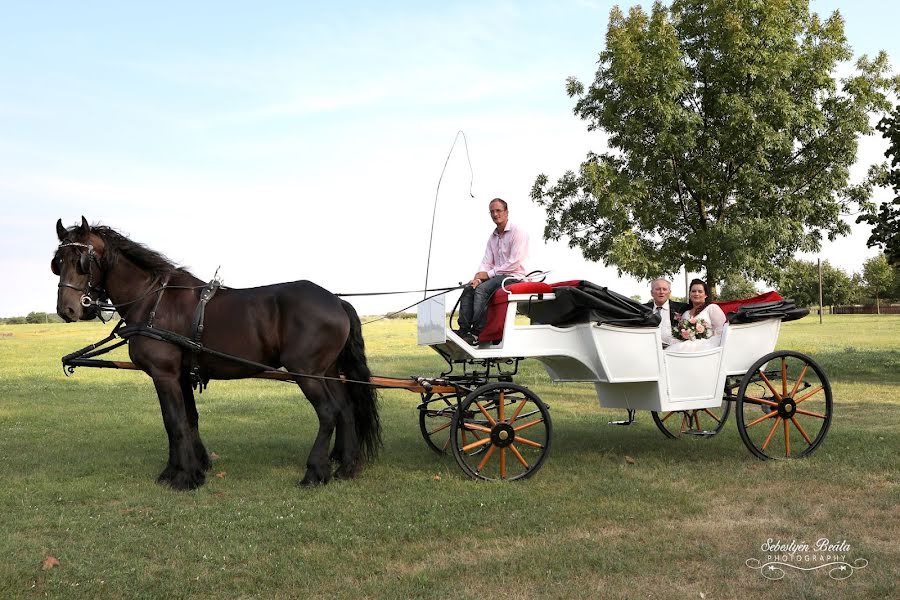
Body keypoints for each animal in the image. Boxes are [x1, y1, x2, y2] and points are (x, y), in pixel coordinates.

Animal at [50, 218, 380, 490]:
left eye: (81, 261)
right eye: (57, 262)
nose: (67, 309)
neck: (154, 301)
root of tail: (336, 301)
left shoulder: (163, 374)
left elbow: (173, 421)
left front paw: (185, 477)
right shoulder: (181, 375)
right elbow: (188, 419)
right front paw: (186, 468)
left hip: (306, 372)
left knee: (328, 412)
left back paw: (315, 472)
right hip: (328, 371)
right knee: (345, 409)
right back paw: (346, 467)